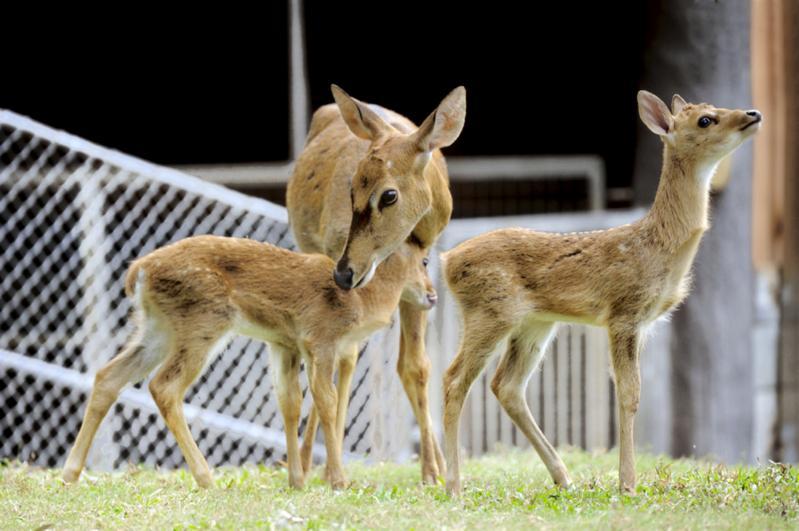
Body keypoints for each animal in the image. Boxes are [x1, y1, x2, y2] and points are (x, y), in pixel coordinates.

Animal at [288, 83, 466, 482]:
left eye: (389, 194)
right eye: (352, 187)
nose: (344, 272)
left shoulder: (419, 272)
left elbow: (417, 365)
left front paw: (432, 471)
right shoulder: (334, 252)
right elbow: (343, 358)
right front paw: (331, 469)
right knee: (344, 359)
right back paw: (311, 463)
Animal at [444, 90, 764, 494]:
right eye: (706, 120)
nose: (753, 113)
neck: (658, 246)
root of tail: (446, 260)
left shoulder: (640, 322)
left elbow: (632, 393)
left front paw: (624, 479)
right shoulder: (624, 312)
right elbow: (629, 393)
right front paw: (627, 482)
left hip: (535, 323)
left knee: (507, 385)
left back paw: (563, 477)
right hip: (488, 310)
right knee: (454, 380)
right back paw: (454, 485)